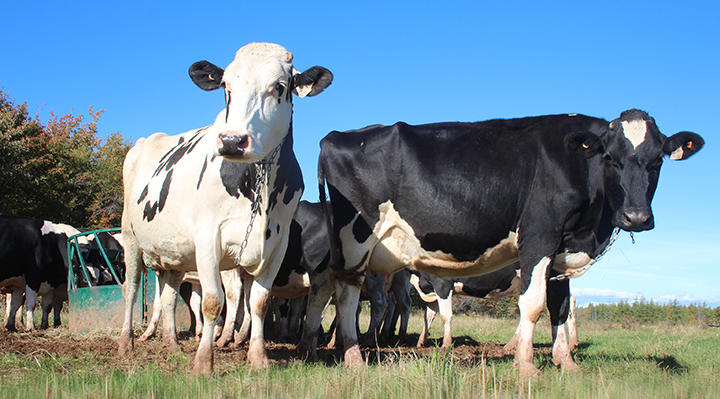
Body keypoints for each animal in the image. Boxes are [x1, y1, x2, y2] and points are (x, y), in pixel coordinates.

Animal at [118, 41, 332, 376]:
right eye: (225, 86)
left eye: (279, 86)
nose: (232, 140)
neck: (259, 185)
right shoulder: (208, 238)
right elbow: (212, 303)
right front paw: (204, 362)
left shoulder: (278, 243)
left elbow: (259, 301)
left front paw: (257, 357)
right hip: (129, 234)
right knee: (131, 286)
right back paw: (126, 344)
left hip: (175, 254)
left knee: (168, 297)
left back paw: (172, 345)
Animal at [304, 111, 704, 376]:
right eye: (610, 158)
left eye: (657, 161)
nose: (636, 217)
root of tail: (337, 136)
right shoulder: (540, 236)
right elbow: (532, 304)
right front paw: (526, 366)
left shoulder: (560, 251)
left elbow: (559, 307)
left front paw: (567, 363)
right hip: (355, 240)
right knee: (347, 295)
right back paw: (353, 357)